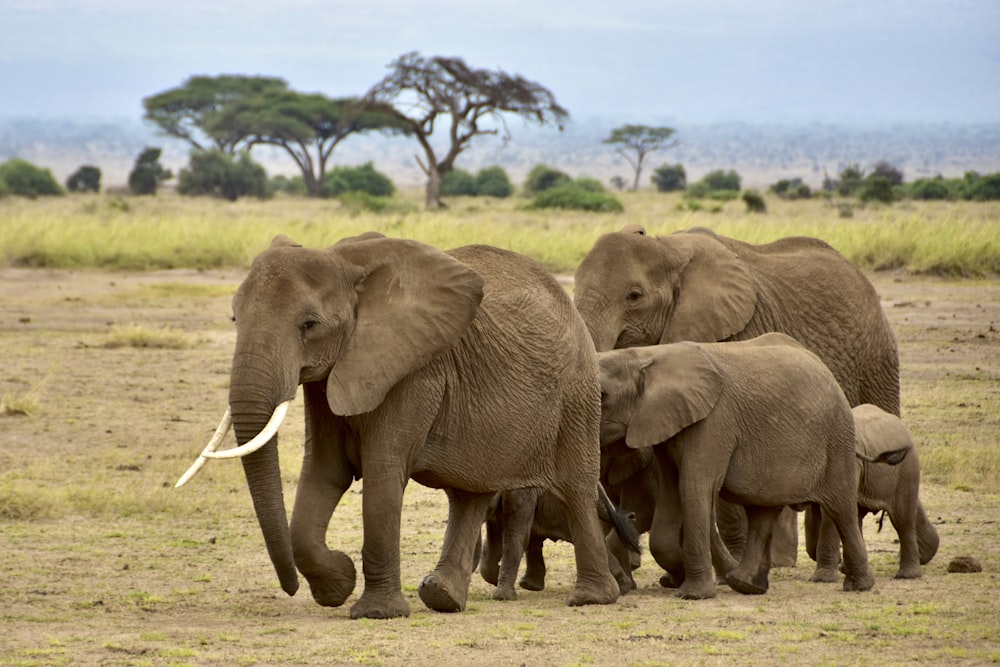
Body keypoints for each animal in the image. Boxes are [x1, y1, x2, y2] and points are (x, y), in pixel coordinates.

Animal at [176, 232, 620, 620]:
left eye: (309, 325)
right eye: (234, 317)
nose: (291, 588)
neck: (346, 265)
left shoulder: (414, 371)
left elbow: (381, 473)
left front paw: (375, 612)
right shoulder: (333, 374)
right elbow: (324, 472)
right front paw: (337, 583)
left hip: (576, 393)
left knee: (577, 488)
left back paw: (592, 599)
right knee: (470, 492)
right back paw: (443, 597)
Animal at [592, 334, 876, 600]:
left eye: (603, 396)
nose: (626, 517)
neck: (647, 356)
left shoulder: (713, 420)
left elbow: (693, 487)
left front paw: (692, 594)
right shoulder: (663, 426)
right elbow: (671, 493)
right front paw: (680, 577)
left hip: (837, 437)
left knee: (841, 508)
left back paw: (859, 586)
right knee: (763, 512)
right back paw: (746, 585)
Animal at [804, 402, 936, 580]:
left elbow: (831, 510)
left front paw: (823, 579)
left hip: (907, 469)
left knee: (903, 519)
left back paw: (907, 575)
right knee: (858, 516)